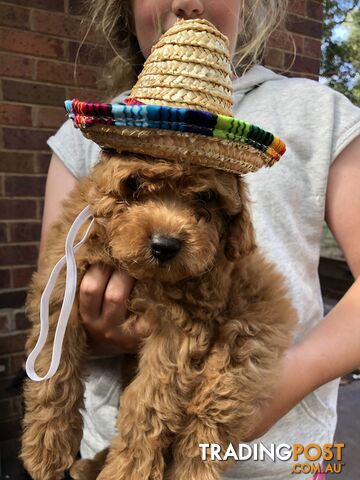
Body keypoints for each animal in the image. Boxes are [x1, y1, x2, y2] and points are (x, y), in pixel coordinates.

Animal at [21, 151, 296, 480]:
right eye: (135, 183)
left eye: (206, 197)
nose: (164, 246)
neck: (143, 275)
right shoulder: (64, 284)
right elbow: (55, 364)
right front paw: (46, 446)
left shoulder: (178, 329)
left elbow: (147, 403)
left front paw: (125, 472)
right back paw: (90, 465)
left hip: (241, 349)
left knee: (206, 423)